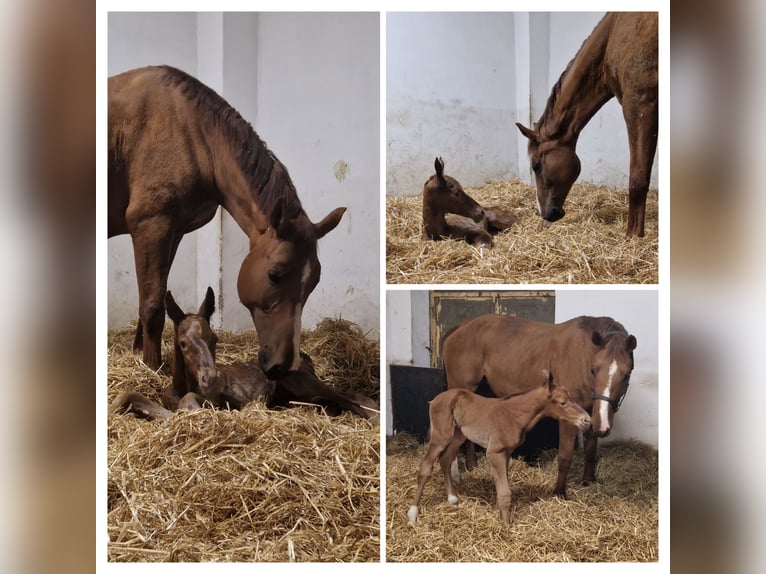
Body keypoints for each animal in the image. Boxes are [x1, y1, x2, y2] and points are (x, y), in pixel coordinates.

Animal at [109, 65, 346, 376]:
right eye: (275, 274)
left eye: (314, 281)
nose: (285, 365)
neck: (191, 131)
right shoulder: (151, 225)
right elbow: (152, 306)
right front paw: (151, 369)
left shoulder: (173, 231)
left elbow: (152, 294)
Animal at [408, 374, 592, 528]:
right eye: (562, 403)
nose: (586, 420)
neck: (514, 416)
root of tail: (436, 399)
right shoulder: (494, 453)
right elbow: (505, 492)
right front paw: (506, 526)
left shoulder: (506, 452)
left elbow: (502, 486)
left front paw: (501, 516)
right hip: (441, 436)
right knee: (425, 467)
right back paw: (412, 514)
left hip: (458, 435)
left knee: (445, 459)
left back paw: (452, 499)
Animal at [440, 316, 640, 500]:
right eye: (594, 369)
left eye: (627, 374)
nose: (602, 426)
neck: (583, 354)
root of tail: (459, 328)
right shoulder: (569, 419)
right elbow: (565, 456)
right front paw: (559, 493)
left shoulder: (592, 413)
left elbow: (590, 451)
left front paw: (588, 482)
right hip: (461, 387)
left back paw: (472, 465)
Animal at [516, 13, 660, 238]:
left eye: (536, 166)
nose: (546, 214)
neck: (612, 34)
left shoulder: (640, 104)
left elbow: (638, 177)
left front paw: (633, 236)